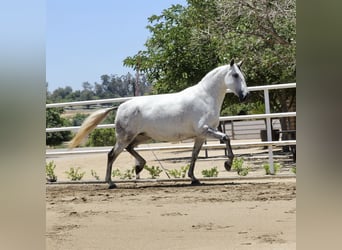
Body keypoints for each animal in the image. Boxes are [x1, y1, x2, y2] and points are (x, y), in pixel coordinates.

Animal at [69, 59, 248, 188]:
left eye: (242, 75)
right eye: (235, 75)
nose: (245, 96)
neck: (205, 97)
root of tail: (120, 106)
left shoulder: (200, 135)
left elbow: (194, 155)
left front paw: (193, 178)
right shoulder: (205, 130)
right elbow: (226, 138)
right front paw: (228, 164)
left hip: (141, 137)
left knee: (129, 149)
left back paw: (139, 167)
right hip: (125, 137)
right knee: (112, 154)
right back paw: (111, 183)